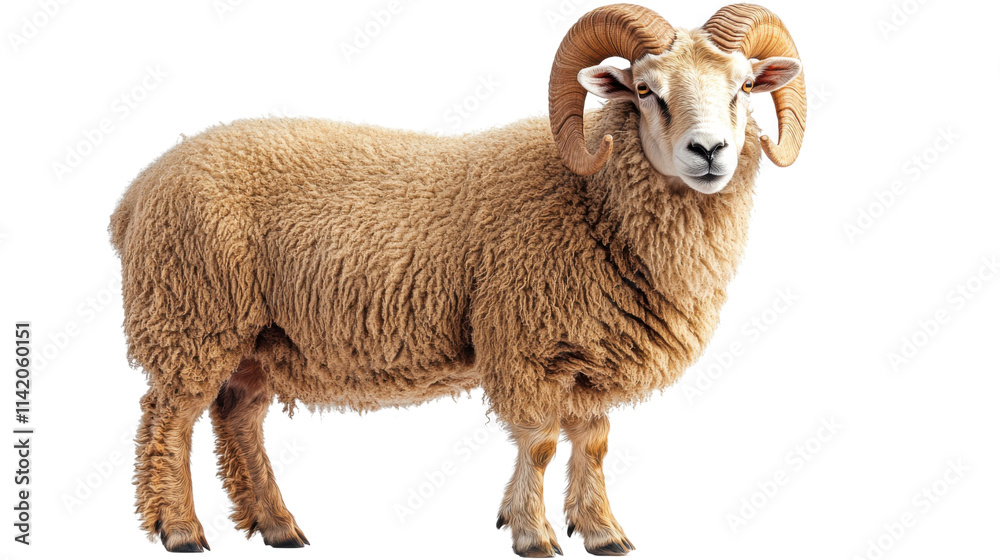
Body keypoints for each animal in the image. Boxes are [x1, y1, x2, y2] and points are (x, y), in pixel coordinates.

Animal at [110, 3, 806, 556]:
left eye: (745, 86)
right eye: (644, 90)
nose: (710, 151)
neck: (590, 195)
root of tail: (138, 190)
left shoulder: (588, 352)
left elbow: (593, 443)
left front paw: (603, 532)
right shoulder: (525, 341)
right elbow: (540, 443)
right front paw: (533, 535)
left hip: (256, 336)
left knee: (237, 416)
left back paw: (277, 525)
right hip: (191, 313)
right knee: (168, 419)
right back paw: (180, 529)